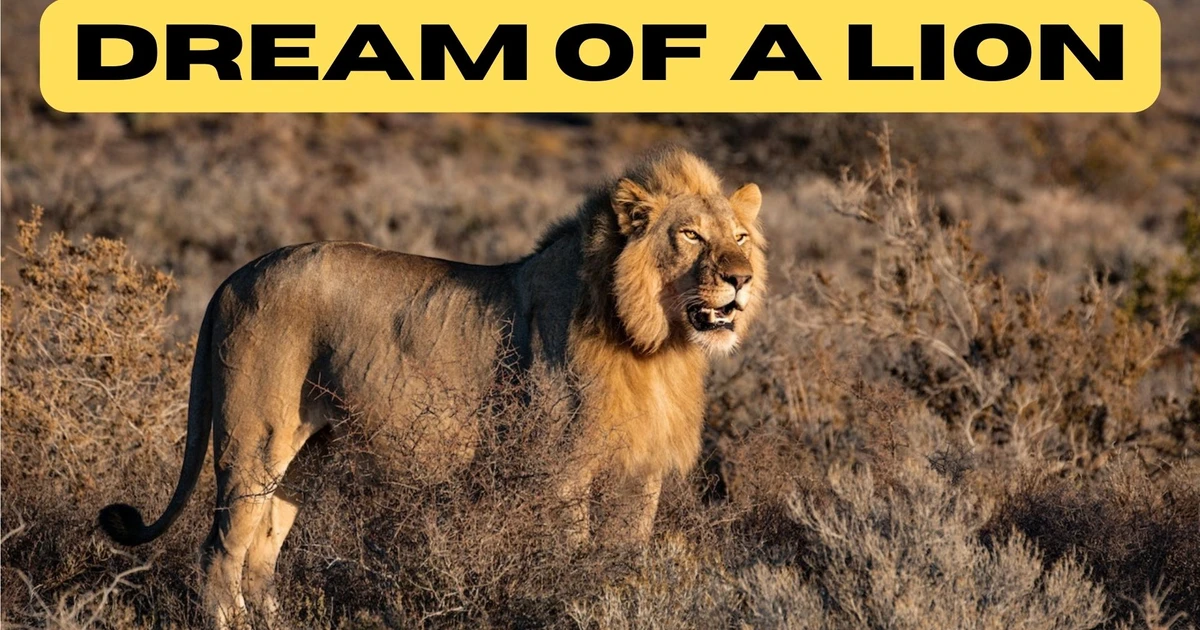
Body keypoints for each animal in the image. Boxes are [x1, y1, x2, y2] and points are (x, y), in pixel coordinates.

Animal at [97, 148, 766, 628]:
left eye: (739, 237)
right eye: (690, 236)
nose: (740, 279)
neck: (655, 344)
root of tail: (233, 277)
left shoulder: (640, 471)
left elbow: (623, 560)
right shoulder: (563, 470)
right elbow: (571, 559)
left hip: (307, 454)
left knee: (262, 551)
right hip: (253, 440)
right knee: (220, 550)